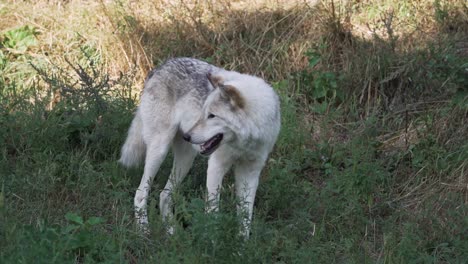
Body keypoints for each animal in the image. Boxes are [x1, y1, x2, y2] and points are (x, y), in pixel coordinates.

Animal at [120, 57, 282, 237]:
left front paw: (242, 243)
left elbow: (246, 217)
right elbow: (213, 212)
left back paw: (172, 232)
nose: (187, 136)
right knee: (140, 194)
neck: (245, 142)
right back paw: (144, 230)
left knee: (164, 195)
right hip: (159, 152)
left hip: (185, 161)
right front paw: (212, 240)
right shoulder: (216, 166)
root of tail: (161, 66)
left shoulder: (251, 172)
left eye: (212, 116)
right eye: (204, 112)